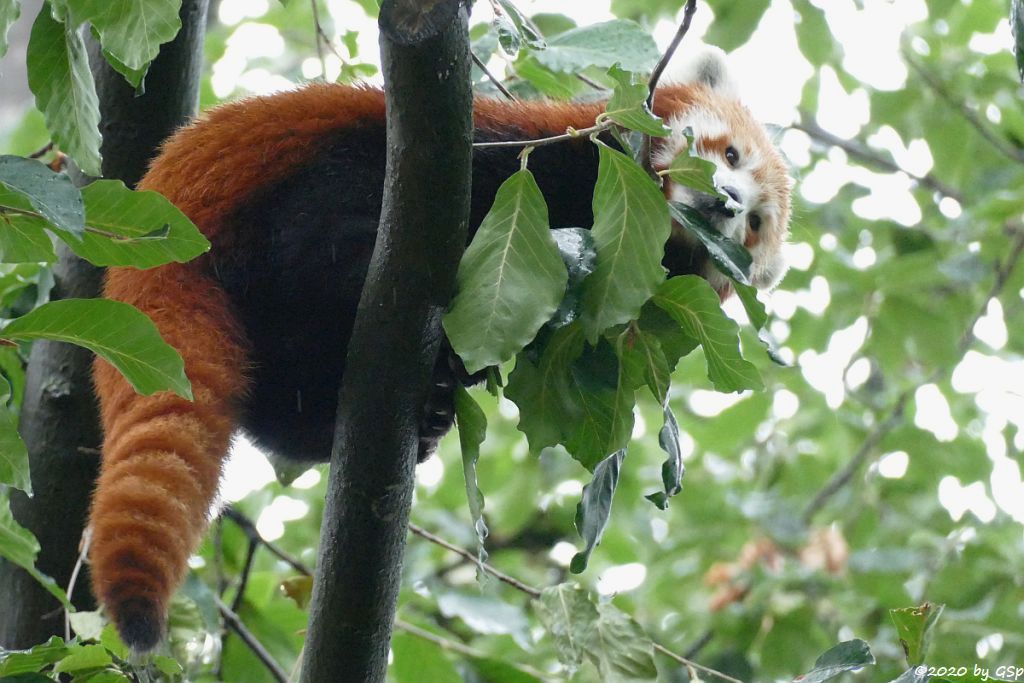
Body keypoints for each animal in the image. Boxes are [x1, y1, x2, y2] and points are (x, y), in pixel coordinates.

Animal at [88, 50, 790, 651]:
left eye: (755, 224)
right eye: (729, 152)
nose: (726, 202)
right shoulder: (529, 156)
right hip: (308, 175)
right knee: (322, 236)